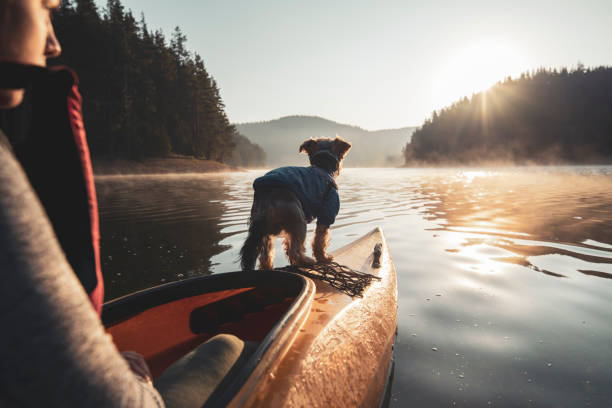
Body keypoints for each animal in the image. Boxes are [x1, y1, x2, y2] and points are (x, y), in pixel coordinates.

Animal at [240, 137, 352, 270]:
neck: (323, 166)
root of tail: (268, 196)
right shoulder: (327, 213)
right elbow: (320, 240)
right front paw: (323, 258)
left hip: (265, 230)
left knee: (266, 254)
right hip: (298, 220)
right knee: (293, 250)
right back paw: (306, 261)